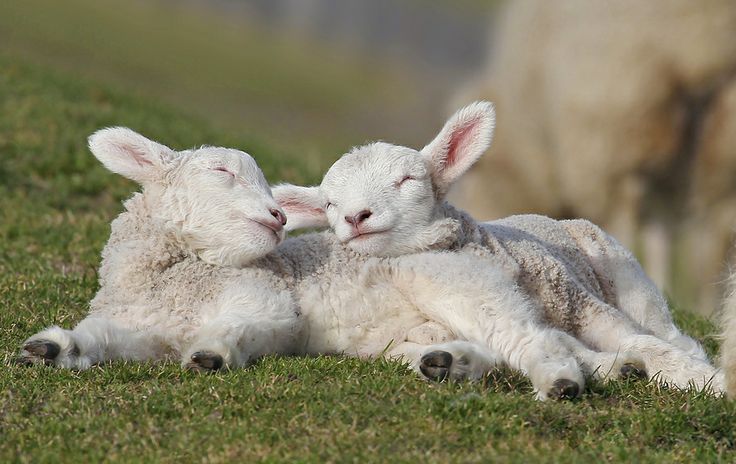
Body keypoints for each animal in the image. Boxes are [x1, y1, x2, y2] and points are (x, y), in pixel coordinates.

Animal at [17, 127, 587, 400]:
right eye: (222, 172)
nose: (277, 216)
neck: (176, 277)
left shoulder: (266, 303)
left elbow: (241, 326)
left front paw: (210, 355)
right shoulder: (145, 327)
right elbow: (102, 339)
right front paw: (51, 349)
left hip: (459, 286)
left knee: (531, 338)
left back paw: (560, 383)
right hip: (412, 331)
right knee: (495, 349)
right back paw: (449, 364)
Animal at [274, 101, 724, 394]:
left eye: (407, 180)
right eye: (329, 204)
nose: (355, 217)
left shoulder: (581, 305)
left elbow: (640, 343)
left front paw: (704, 381)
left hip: (627, 275)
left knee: (665, 331)